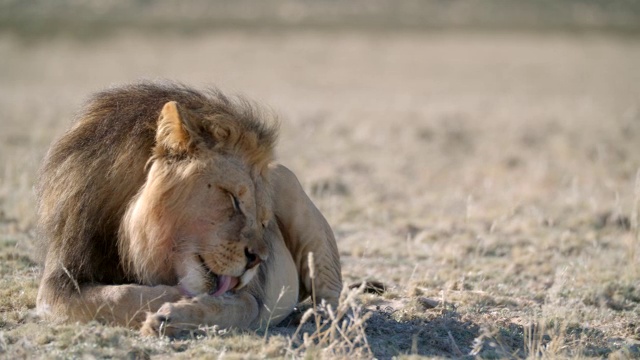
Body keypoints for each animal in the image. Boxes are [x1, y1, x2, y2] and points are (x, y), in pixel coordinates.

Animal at [35, 82, 342, 338]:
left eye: (265, 221)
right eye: (233, 199)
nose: (258, 260)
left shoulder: (250, 296)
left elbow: (230, 307)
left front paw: (173, 315)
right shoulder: (59, 279)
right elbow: (117, 296)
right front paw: (170, 302)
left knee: (332, 294)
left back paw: (314, 318)